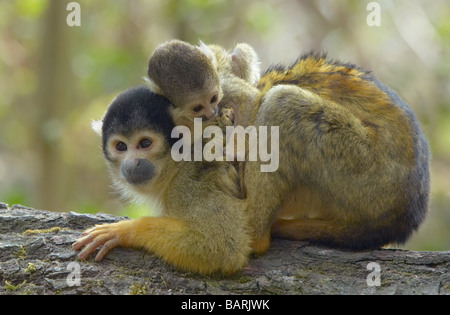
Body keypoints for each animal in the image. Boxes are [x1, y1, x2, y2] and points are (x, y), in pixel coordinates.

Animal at [73, 87, 250, 276]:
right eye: (121, 146)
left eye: (145, 143)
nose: (131, 164)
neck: (178, 164)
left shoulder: (189, 182)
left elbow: (222, 247)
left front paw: (124, 231)